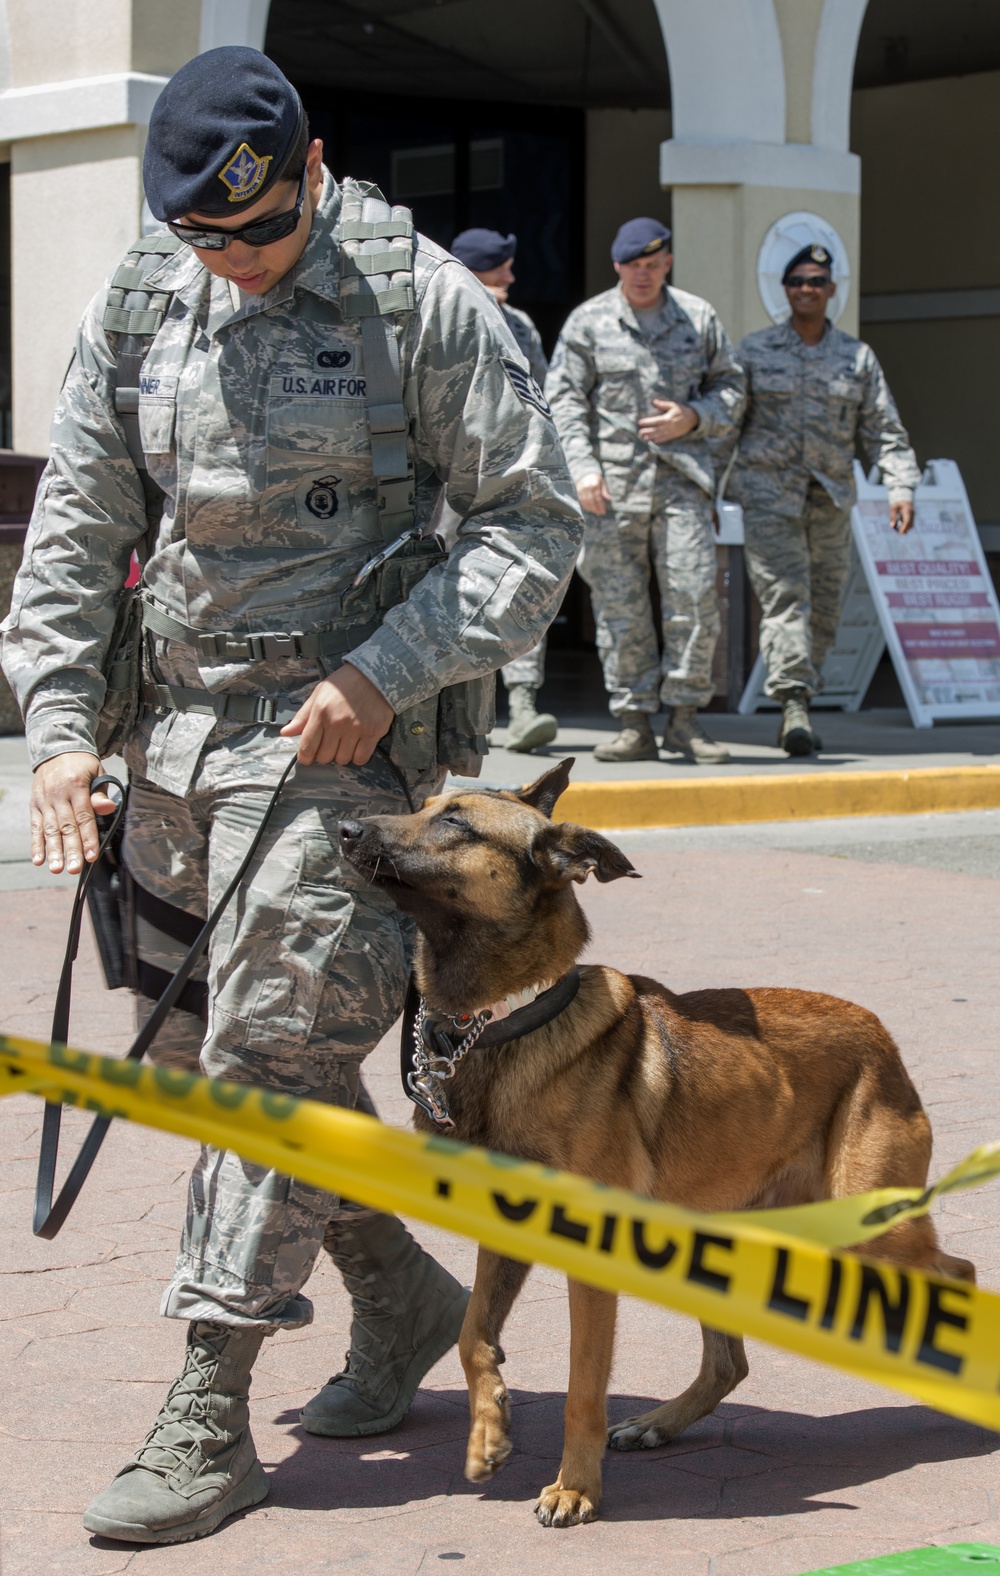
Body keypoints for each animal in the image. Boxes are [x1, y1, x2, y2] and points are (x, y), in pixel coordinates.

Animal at [340, 762, 976, 1525]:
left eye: (456, 823)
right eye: (425, 806)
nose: (343, 827)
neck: (503, 1022)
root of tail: (880, 1031)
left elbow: (583, 1389)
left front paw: (575, 1488)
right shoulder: (505, 1232)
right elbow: (472, 1337)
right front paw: (489, 1434)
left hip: (870, 1231)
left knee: (961, 1273)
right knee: (731, 1360)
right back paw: (660, 1423)